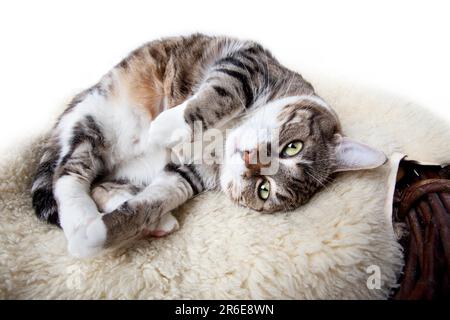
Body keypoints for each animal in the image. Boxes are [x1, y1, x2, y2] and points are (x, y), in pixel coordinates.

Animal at [30, 33, 386, 258]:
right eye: (293, 147)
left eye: (264, 190)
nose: (250, 159)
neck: (223, 139)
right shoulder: (248, 64)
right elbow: (221, 94)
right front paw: (164, 126)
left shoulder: (187, 174)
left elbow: (153, 202)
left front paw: (102, 234)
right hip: (95, 121)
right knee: (68, 176)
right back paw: (80, 219)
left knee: (98, 184)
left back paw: (141, 222)